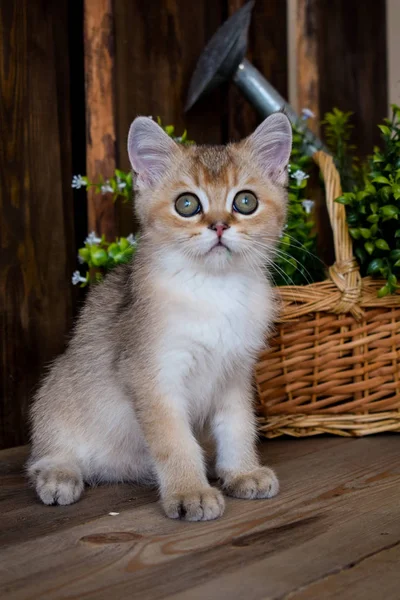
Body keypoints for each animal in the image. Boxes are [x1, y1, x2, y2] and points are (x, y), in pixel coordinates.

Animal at [27, 113, 290, 520]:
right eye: (187, 204)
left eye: (246, 201)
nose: (219, 226)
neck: (213, 291)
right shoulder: (153, 377)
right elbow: (174, 441)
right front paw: (189, 492)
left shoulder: (235, 375)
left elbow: (238, 426)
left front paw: (241, 472)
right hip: (56, 391)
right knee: (43, 456)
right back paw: (59, 475)